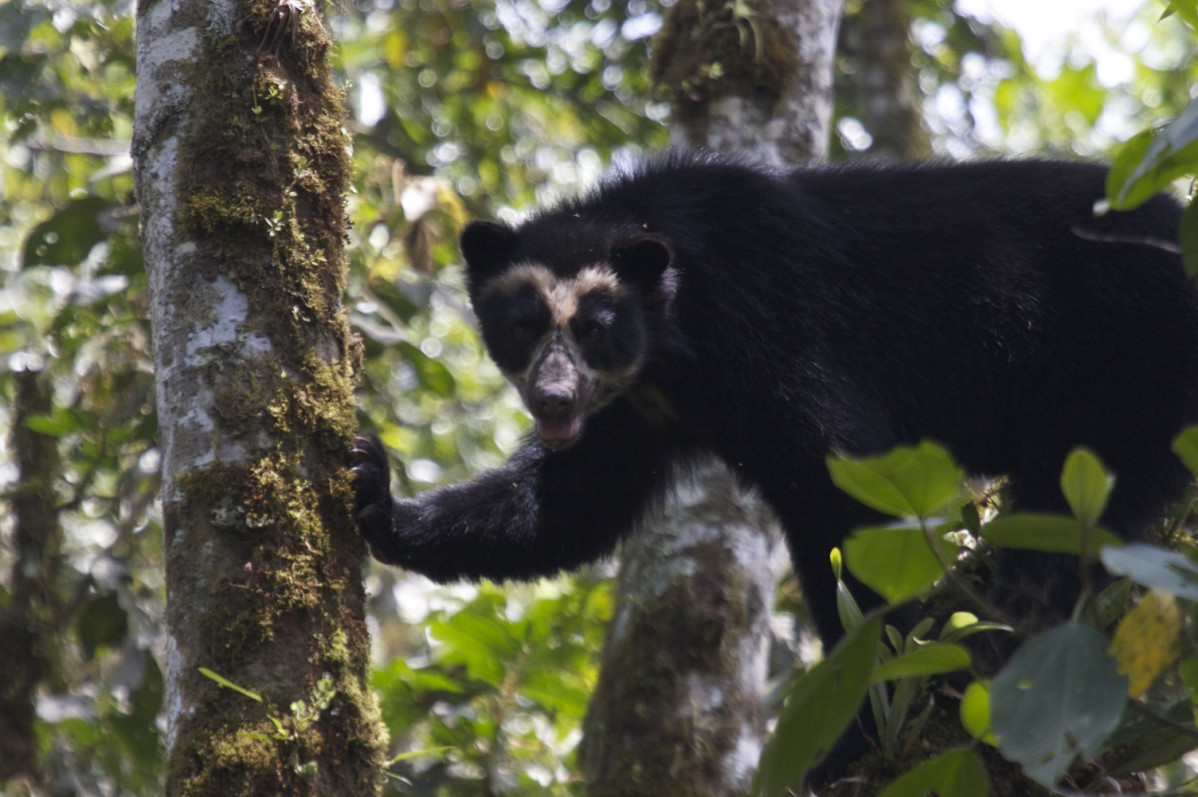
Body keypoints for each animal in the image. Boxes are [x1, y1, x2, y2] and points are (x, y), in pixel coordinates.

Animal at [354, 151, 1198, 666]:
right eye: (523, 325)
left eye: (595, 326)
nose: (553, 398)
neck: (676, 344)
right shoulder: (631, 409)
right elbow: (568, 503)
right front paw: (372, 489)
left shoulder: (774, 324)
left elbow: (851, 489)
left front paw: (888, 683)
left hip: (1127, 352)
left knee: (1067, 514)